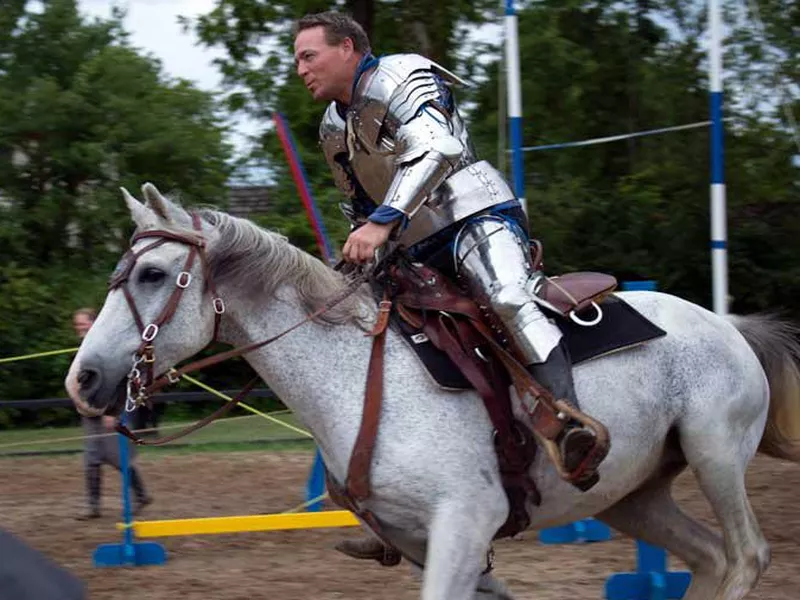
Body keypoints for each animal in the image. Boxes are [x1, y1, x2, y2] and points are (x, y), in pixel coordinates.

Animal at [65, 185, 800, 596]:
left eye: (153, 274)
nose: (84, 378)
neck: (357, 377)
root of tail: (729, 324)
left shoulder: (464, 524)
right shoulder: (424, 542)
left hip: (713, 454)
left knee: (746, 556)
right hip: (634, 497)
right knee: (709, 558)